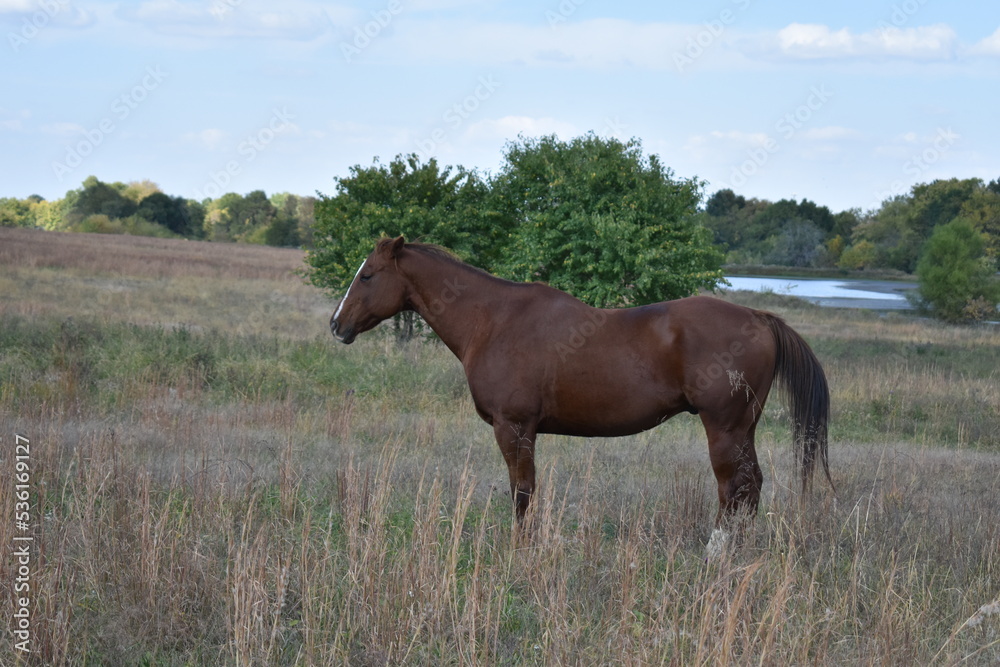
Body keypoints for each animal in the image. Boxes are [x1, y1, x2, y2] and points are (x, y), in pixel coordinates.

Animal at [326, 237, 828, 536]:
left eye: (367, 275)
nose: (336, 325)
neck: (493, 320)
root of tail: (759, 318)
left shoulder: (514, 427)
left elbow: (522, 491)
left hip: (724, 428)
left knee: (733, 488)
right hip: (744, 428)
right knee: (751, 486)